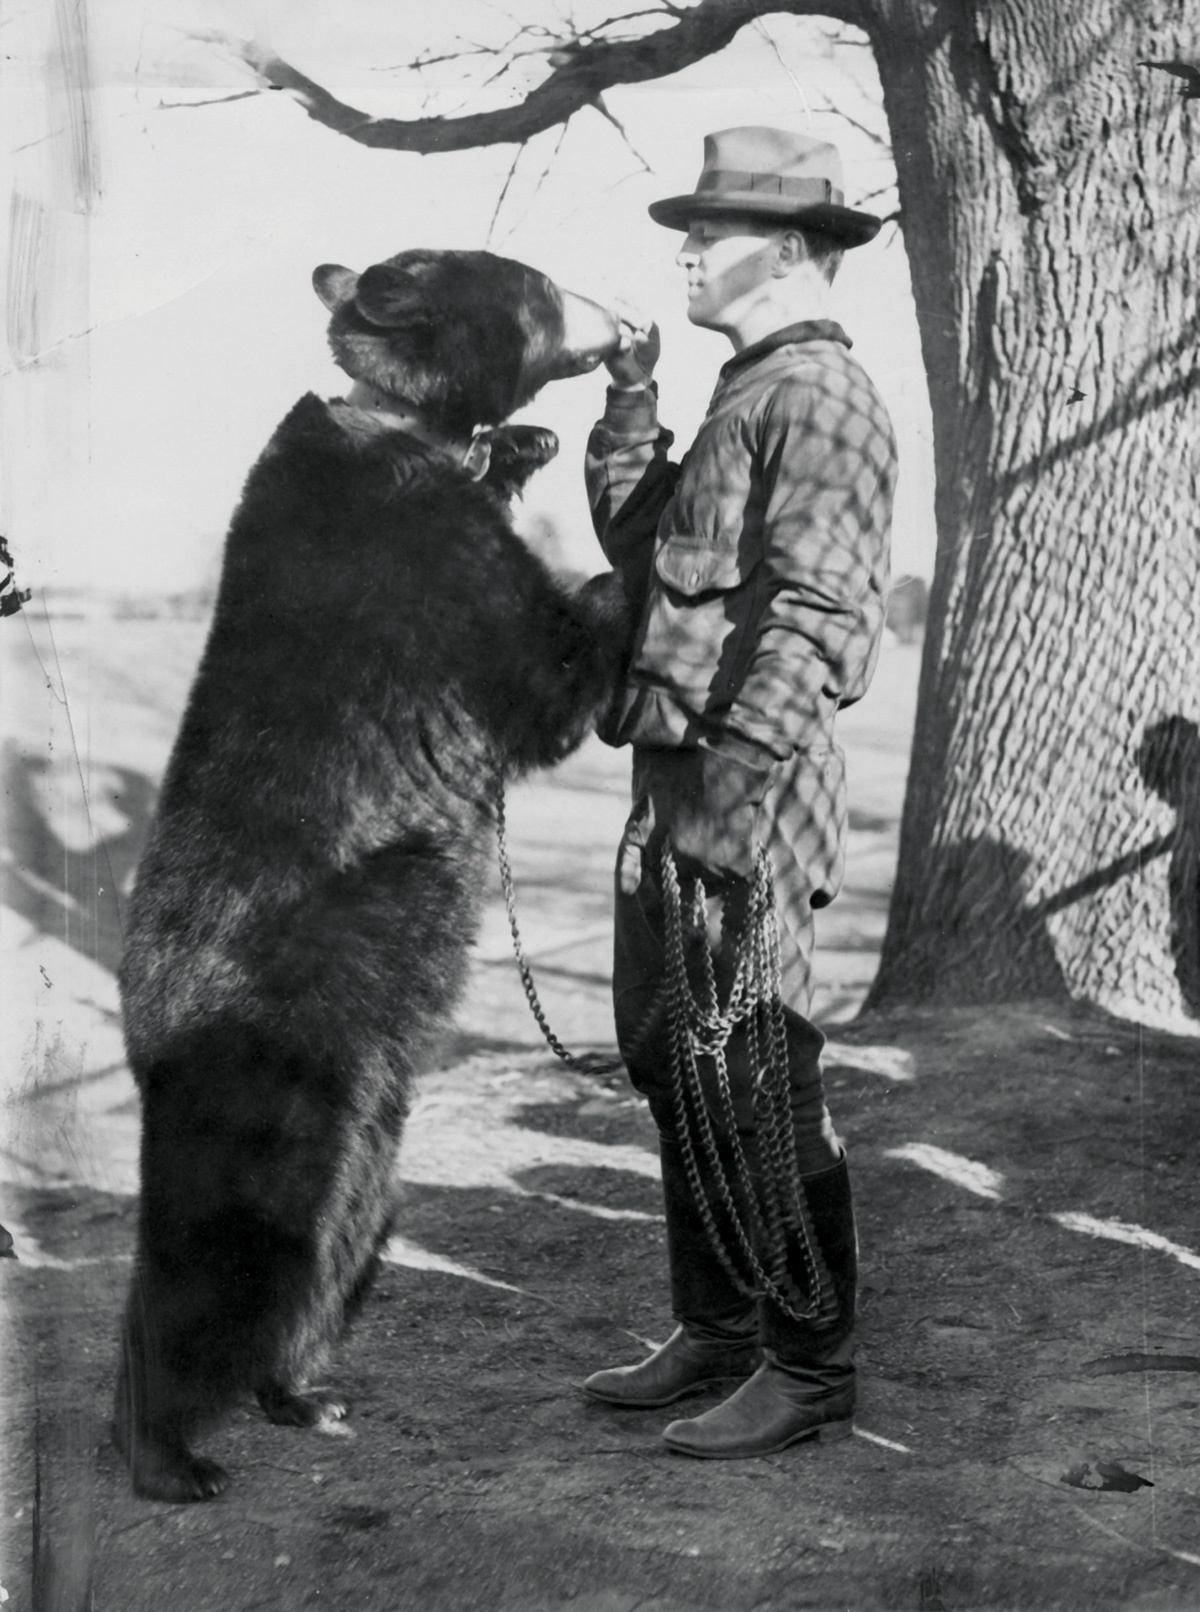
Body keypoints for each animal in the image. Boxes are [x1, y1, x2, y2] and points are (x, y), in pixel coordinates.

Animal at [114, 248, 629, 1495]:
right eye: (544, 288)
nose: (624, 317)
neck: (403, 424)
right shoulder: (429, 560)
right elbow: (542, 670)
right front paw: (620, 559)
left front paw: (540, 450)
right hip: (267, 1109)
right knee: (196, 1280)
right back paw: (167, 1454)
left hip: (367, 1173)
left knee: (325, 1270)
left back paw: (304, 1394)